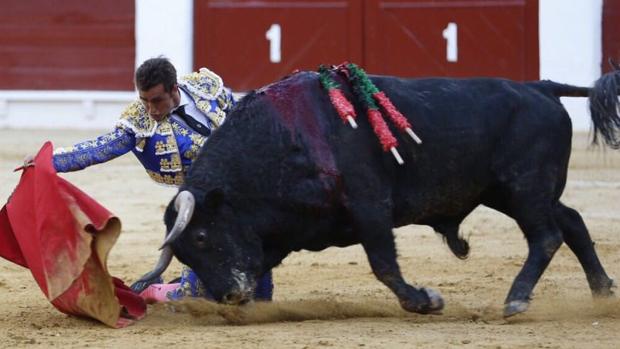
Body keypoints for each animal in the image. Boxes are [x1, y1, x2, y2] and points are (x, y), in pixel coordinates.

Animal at [133, 70, 616, 316]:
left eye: (200, 237)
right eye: (185, 253)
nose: (231, 297)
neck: (284, 138)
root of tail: (541, 87)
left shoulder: (371, 206)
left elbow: (383, 263)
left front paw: (424, 300)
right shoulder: (280, 232)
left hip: (525, 188)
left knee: (547, 235)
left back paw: (516, 300)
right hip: (512, 191)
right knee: (571, 222)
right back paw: (601, 292)